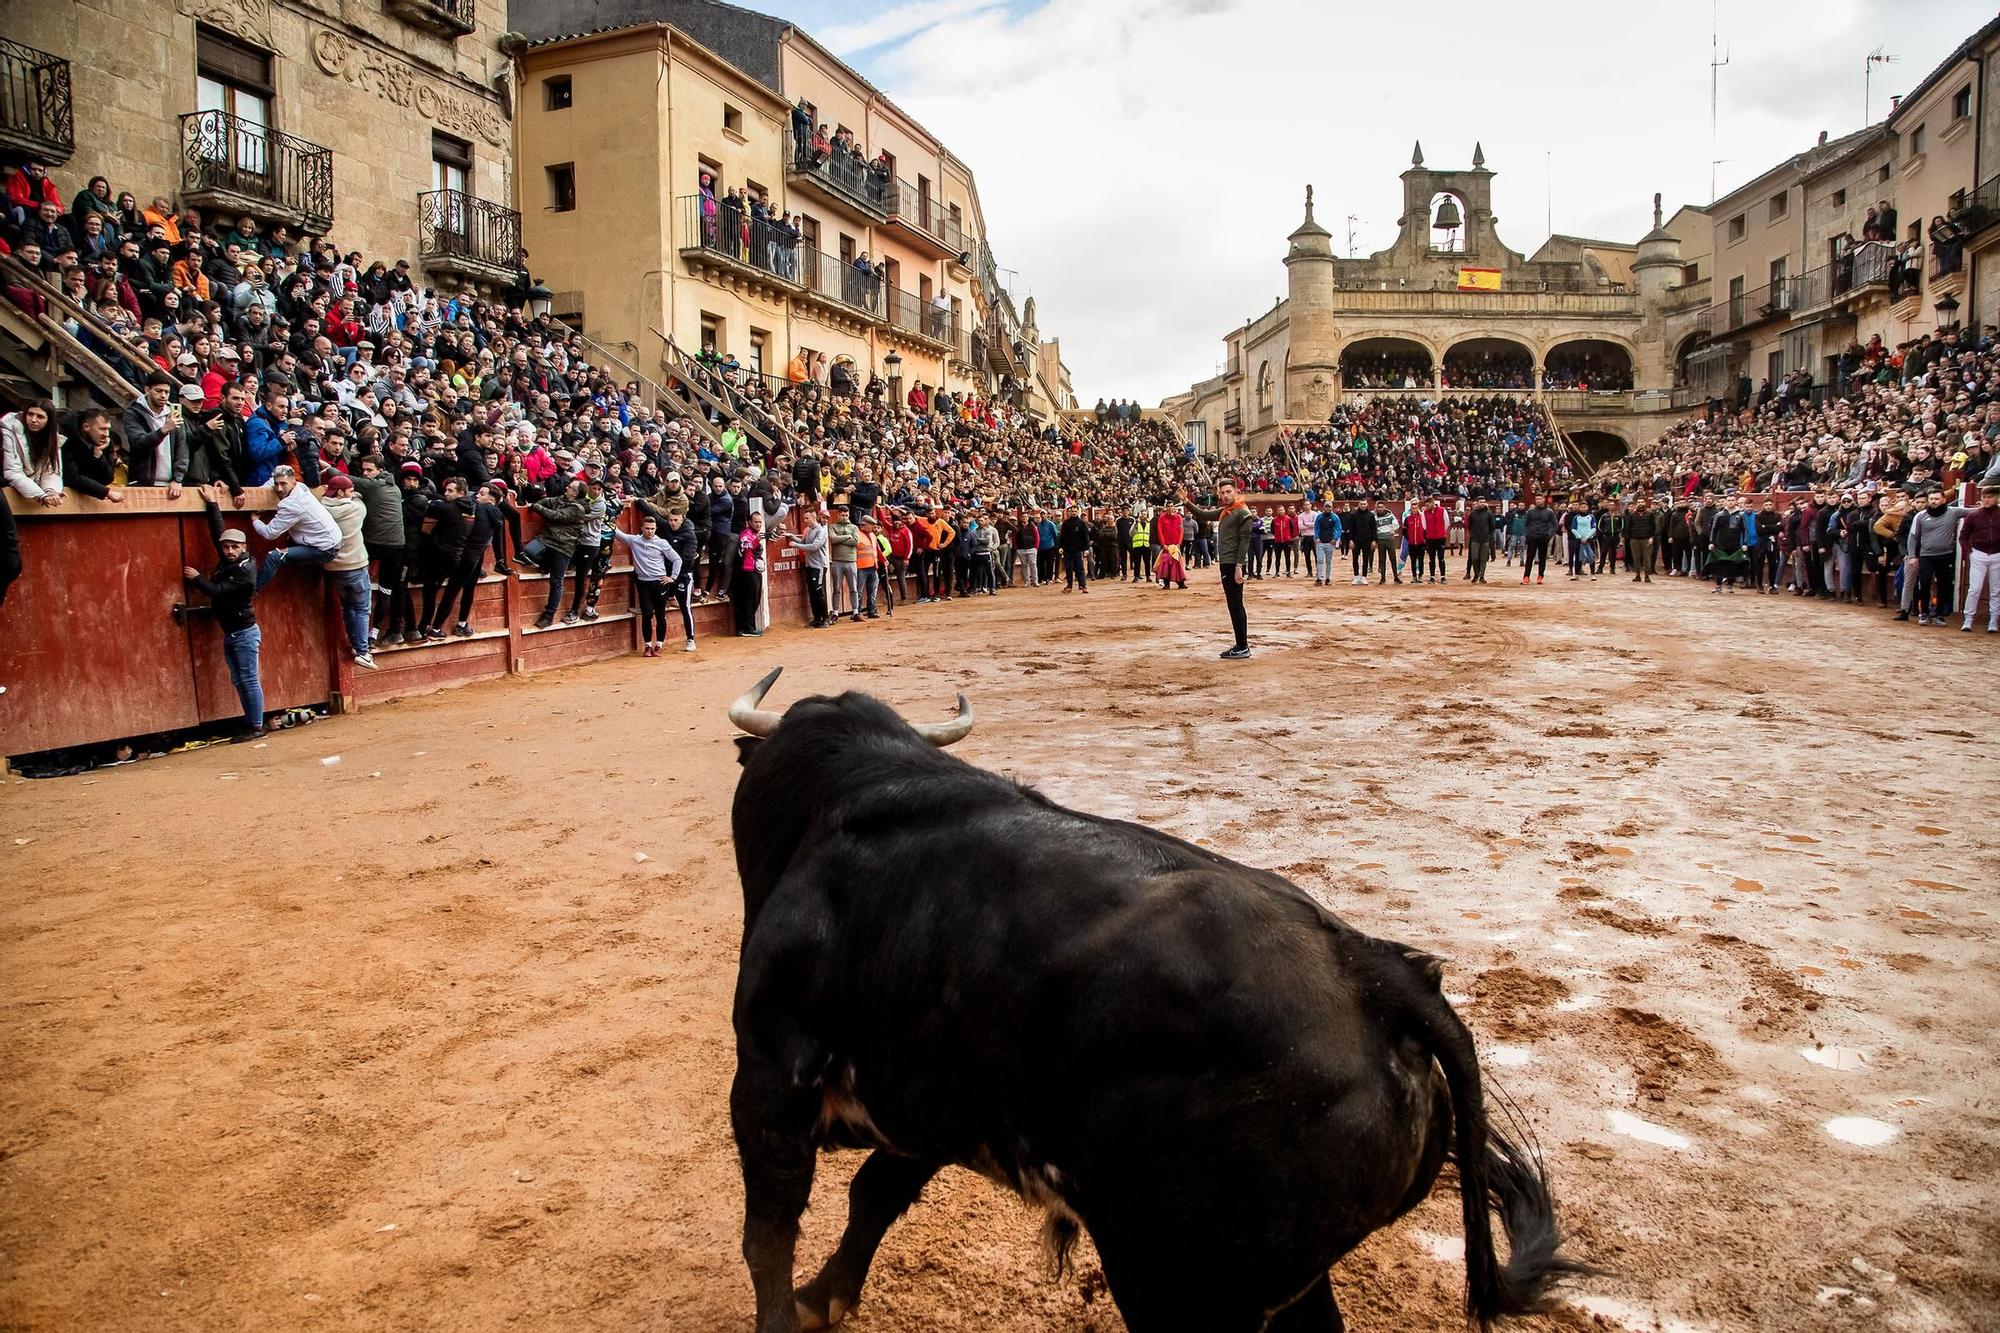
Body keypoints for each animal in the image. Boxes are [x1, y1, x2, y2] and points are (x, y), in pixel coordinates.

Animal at [728, 668, 1584, 1320]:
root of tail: (1378, 974)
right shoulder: (928, 1107)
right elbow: (873, 1195)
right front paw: (825, 1298)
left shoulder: (770, 1075)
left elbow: (769, 1232)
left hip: (1181, 1288)